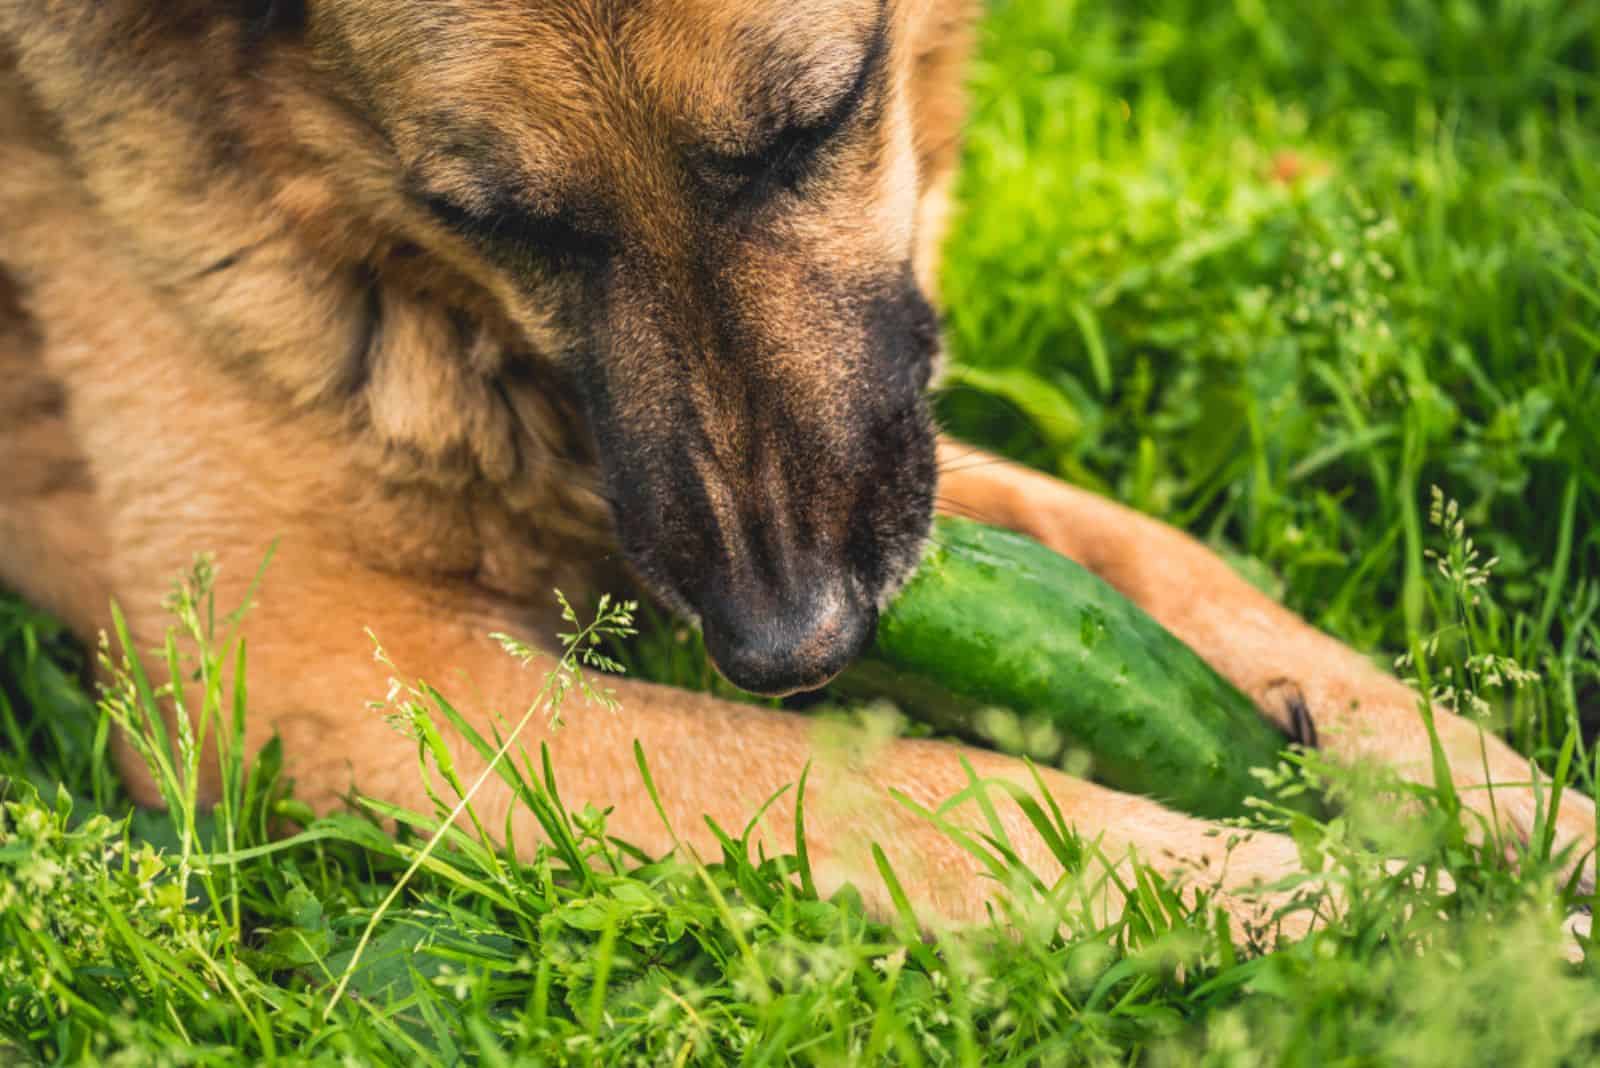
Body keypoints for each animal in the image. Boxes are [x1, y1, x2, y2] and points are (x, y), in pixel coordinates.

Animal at [0, 0, 1593, 933]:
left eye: (815, 124)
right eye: (506, 221)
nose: (796, 644)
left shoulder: (895, 468)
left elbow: (1180, 570)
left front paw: (1501, 811)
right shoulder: (310, 662)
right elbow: (882, 788)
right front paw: (1297, 891)